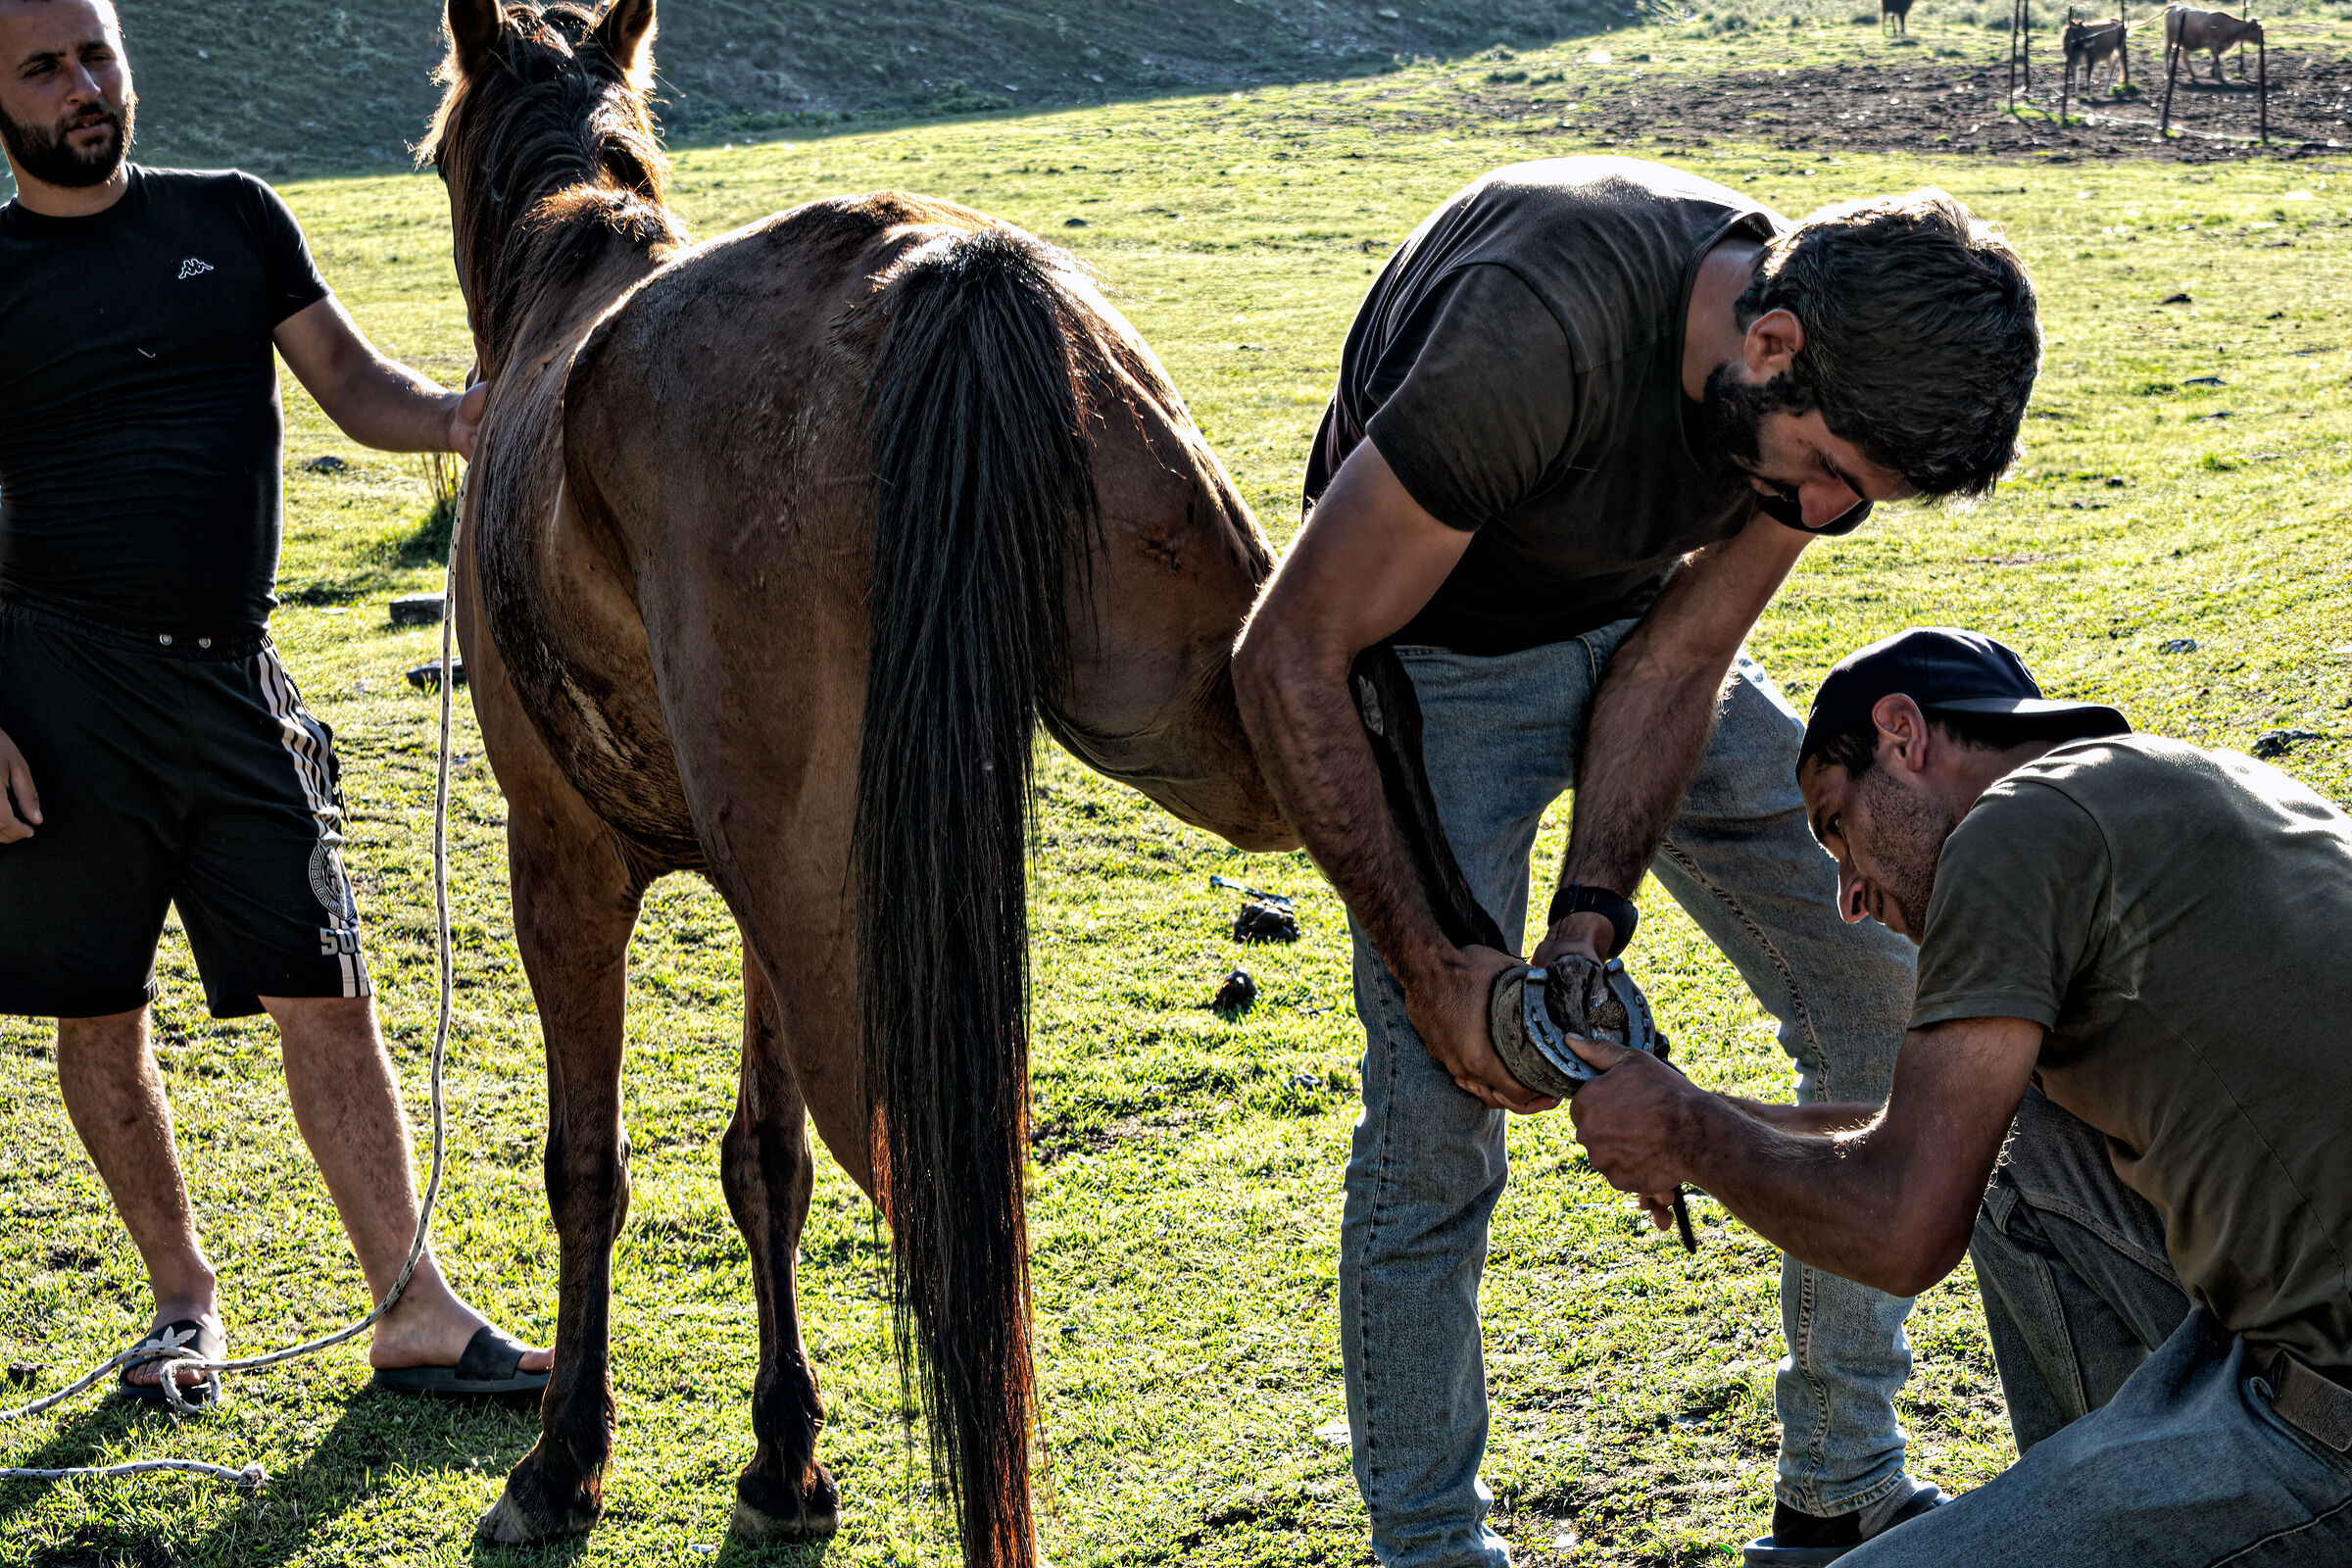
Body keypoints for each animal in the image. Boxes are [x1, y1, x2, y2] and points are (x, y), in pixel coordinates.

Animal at [421, 1, 1292, 1561]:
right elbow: (763, 1163)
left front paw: (563, 1458)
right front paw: (784, 1456)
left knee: (948, 1227)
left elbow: (588, 1170)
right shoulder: (756, 899)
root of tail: (944, 273)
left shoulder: (563, 864)